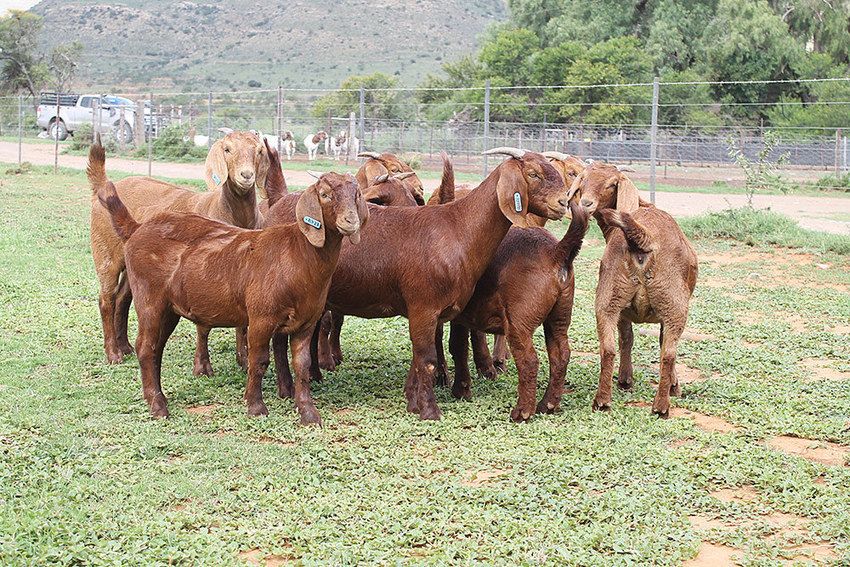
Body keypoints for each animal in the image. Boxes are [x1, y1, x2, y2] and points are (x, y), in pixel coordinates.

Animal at [89, 130, 268, 364]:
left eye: (259, 151)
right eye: (227, 149)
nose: (246, 175)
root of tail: (103, 187)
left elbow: (243, 321)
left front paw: (243, 358)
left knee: (122, 298)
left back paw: (125, 346)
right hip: (105, 253)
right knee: (106, 299)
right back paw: (113, 353)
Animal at [264, 149, 568, 420]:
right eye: (534, 173)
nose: (564, 202)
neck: (457, 228)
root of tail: (278, 205)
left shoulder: (433, 312)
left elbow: (420, 357)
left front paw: (412, 401)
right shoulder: (424, 306)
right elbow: (427, 358)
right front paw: (430, 411)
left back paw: (312, 377)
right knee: (279, 339)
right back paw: (286, 388)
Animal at [568, 162, 696, 420]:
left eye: (611, 184)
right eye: (583, 180)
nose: (585, 203)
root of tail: (643, 238)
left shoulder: (623, 309)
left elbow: (626, 337)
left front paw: (626, 380)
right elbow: (649, 340)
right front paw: (673, 385)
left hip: (608, 296)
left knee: (607, 349)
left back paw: (602, 401)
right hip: (674, 303)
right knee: (668, 353)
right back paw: (661, 407)